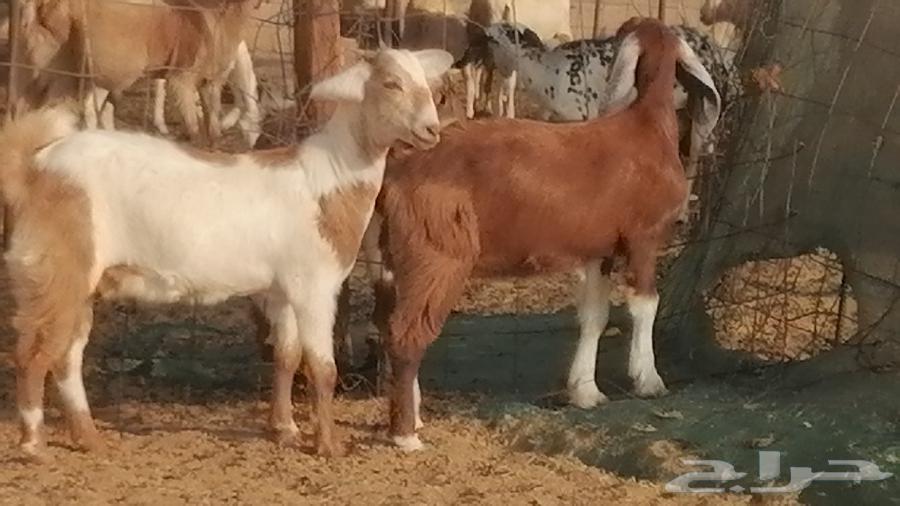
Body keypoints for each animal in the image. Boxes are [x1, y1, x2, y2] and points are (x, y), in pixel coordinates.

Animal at [0, 48, 453, 461]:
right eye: (391, 84)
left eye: (428, 85)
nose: (431, 131)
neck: (329, 179)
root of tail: (34, 167)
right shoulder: (314, 285)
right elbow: (322, 367)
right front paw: (327, 445)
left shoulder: (281, 290)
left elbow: (286, 356)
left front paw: (284, 430)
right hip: (55, 267)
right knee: (33, 353)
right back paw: (34, 444)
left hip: (76, 280)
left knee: (66, 356)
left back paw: (88, 438)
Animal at [14, 0, 256, 145]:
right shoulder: (182, 77)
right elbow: (193, 125)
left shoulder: (212, 81)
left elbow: (213, 124)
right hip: (105, 68)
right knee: (88, 109)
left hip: (48, 63)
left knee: (33, 104)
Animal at [369, 17, 720, 450]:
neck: (646, 127)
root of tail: (397, 170)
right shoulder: (643, 238)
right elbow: (645, 305)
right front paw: (649, 380)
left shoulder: (598, 250)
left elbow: (594, 315)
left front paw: (586, 392)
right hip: (435, 252)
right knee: (408, 332)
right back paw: (405, 435)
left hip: (390, 256)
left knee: (387, 324)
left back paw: (413, 416)